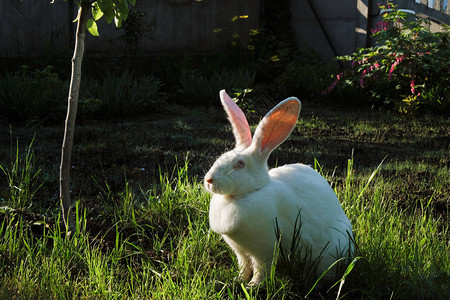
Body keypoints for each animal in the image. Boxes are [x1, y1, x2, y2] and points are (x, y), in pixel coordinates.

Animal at [205, 89, 356, 286]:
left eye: (240, 164)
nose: (209, 180)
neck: (244, 195)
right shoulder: (240, 251)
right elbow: (244, 266)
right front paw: (238, 280)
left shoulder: (265, 251)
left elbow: (261, 269)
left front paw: (253, 286)